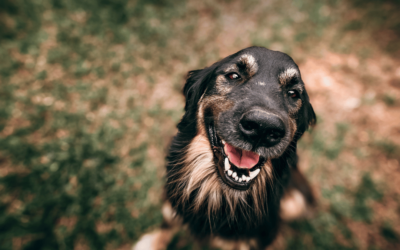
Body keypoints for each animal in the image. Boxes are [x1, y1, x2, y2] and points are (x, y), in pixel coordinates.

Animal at [134, 47, 316, 250]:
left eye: (293, 93)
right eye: (233, 75)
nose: (262, 127)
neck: (220, 193)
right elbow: (168, 221)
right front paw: (153, 243)